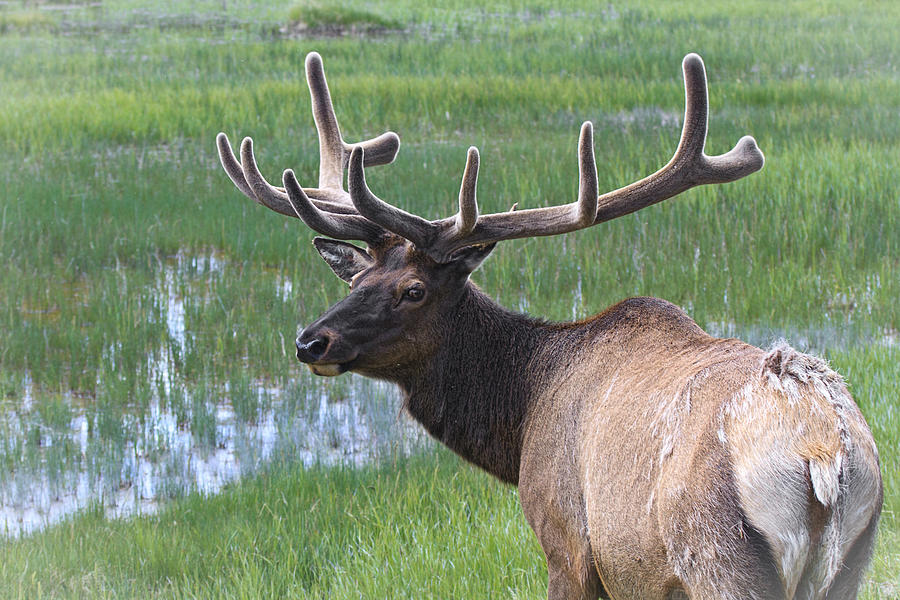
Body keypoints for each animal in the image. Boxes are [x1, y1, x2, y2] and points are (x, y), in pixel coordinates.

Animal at [216, 52, 880, 600]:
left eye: (414, 291)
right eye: (354, 283)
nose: (311, 341)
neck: (520, 420)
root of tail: (823, 454)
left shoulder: (566, 544)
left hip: (719, 553)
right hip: (852, 559)